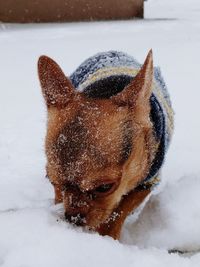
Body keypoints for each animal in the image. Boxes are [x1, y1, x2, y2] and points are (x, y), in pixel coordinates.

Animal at [38, 50, 173, 241]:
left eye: (104, 188)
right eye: (52, 182)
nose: (73, 218)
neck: (105, 92)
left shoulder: (148, 182)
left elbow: (121, 208)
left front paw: (107, 235)